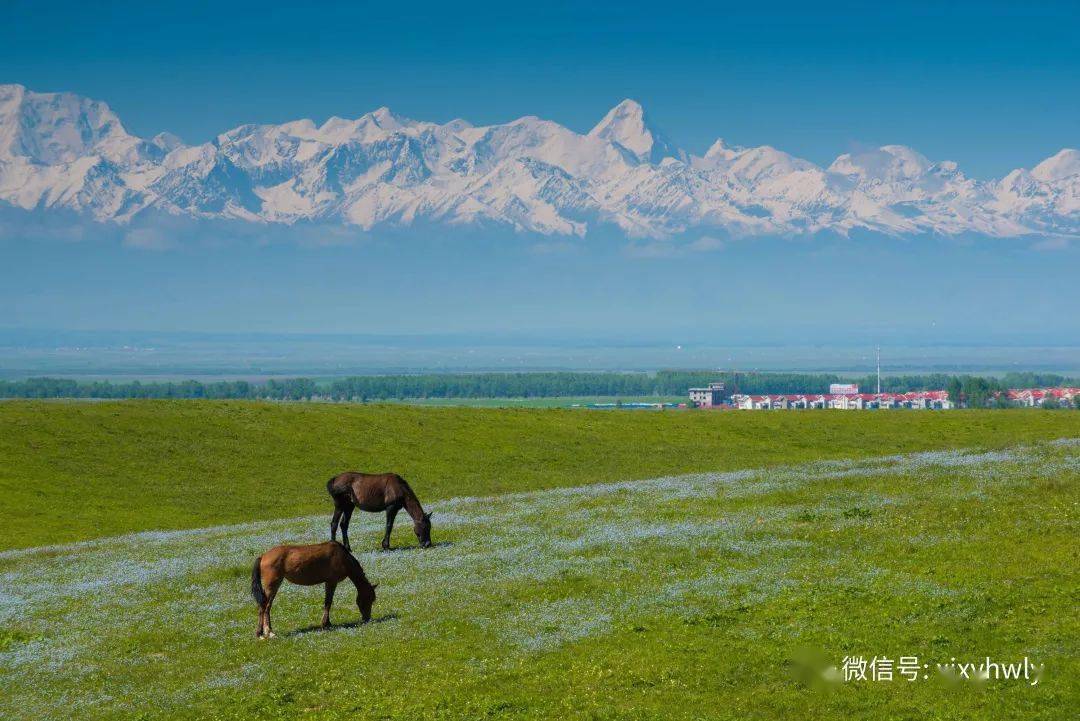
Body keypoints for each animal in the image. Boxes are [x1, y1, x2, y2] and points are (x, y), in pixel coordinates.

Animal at [250, 539, 378, 634]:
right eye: (369, 599)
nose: (367, 618)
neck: (342, 557)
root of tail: (263, 556)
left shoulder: (328, 582)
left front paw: (327, 623)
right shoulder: (332, 582)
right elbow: (328, 602)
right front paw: (325, 624)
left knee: (264, 606)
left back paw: (261, 632)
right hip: (272, 586)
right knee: (265, 606)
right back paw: (268, 632)